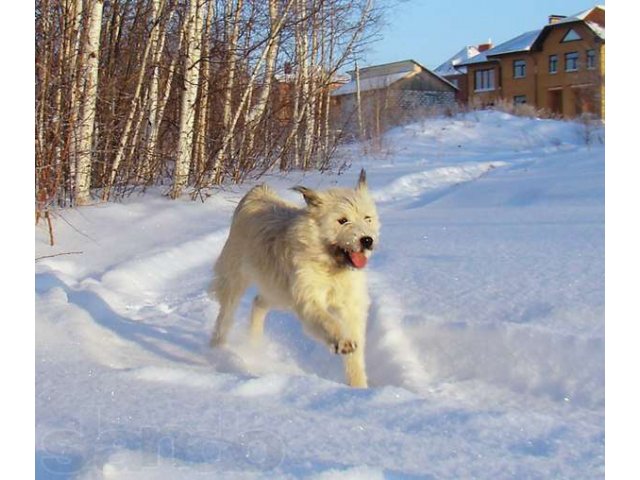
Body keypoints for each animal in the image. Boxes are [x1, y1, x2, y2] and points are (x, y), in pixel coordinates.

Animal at [210, 171, 380, 388]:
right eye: (342, 220)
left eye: (367, 218)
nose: (367, 240)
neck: (330, 267)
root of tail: (258, 192)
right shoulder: (308, 299)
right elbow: (327, 320)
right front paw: (342, 340)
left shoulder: (351, 306)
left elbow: (355, 355)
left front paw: (359, 387)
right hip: (237, 280)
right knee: (226, 315)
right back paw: (217, 349)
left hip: (280, 293)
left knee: (258, 302)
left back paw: (255, 340)